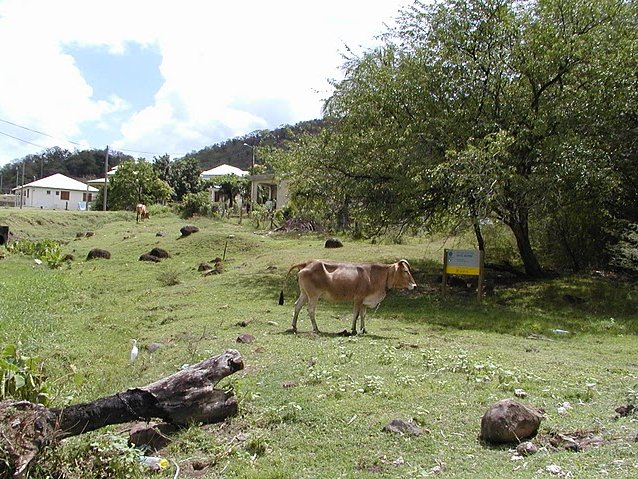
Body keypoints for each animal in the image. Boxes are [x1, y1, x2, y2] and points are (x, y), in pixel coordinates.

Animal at [282, 260, 418, 336]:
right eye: (405, 271)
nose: (415, 285)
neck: (374, 276)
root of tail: (307, 263)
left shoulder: (364, 301)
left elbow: (363, 315)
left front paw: (364, 329)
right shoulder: (358, 298)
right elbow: (355, 315)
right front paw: (353, 330)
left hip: (304, 294)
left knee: (297, 306)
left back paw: (294, 326)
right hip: (313, 296)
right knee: (310, 310)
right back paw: (316, 329)